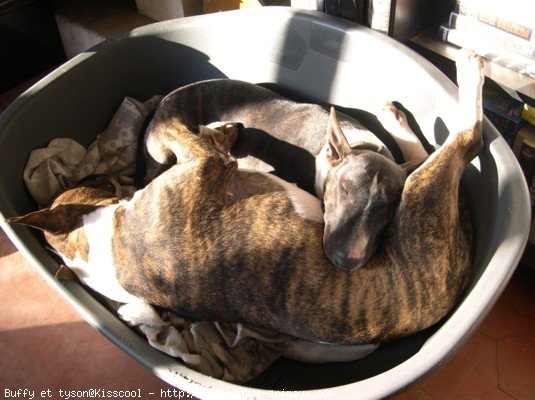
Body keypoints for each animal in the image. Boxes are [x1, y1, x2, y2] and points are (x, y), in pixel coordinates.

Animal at [6, 50, 484, 344]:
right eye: (343, 191)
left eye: (385, 212)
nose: (346, 263)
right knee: (469, 137)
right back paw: (469, 69)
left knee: (440, 150)